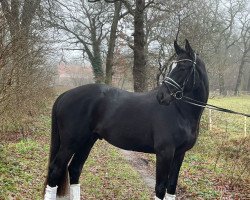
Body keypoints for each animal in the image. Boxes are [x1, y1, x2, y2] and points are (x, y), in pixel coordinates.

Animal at [44, 39, 208, 199]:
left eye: (183, 67)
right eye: (174, 66)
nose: (161, 96)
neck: (180, 112)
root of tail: (65, 95)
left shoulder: (179, 154)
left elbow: (171, 188)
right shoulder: (165, 153)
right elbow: (160, 189)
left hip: (87, 141)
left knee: (75, 169)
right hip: (70, 143)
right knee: (56, 170)